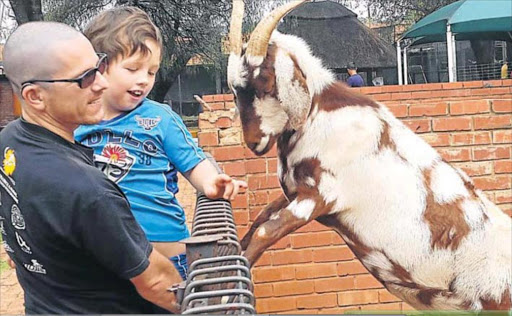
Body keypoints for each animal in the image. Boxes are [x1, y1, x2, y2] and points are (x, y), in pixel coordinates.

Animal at [228, 0, 512, 312]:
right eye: (234, 90)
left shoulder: (322, 195)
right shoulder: (294, 192)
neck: (317, 115)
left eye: (265, 79)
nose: (253, 142)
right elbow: (258, 222)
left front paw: (224, 295)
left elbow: (265, 232)